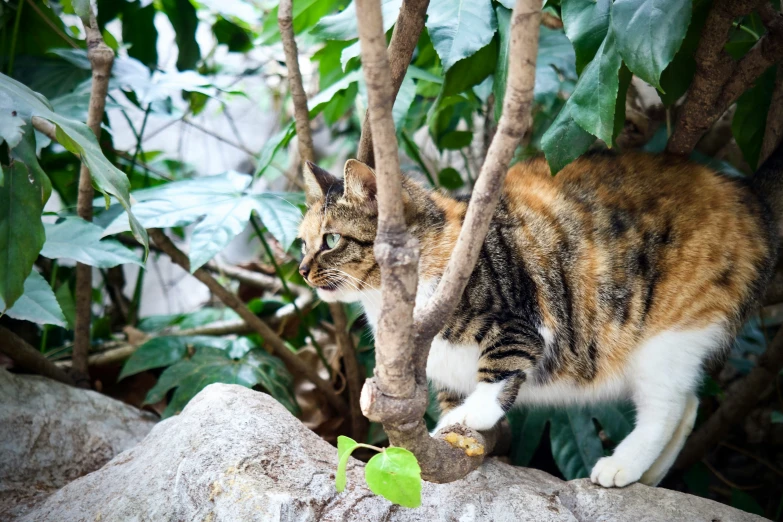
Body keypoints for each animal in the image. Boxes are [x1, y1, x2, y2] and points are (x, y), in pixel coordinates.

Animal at [298, 147, 780, 488]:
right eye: (302, 242)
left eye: (332, 240)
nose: (301, 270)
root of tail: (741, 192)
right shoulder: (443, 368)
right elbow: (452, 394)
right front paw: (454, 431)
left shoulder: (521, 322)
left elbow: (499, 372)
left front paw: (469, 417)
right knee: (691, 403)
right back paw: (649, 476)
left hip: (669, 332)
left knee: (669, 406)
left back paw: (621, 466)